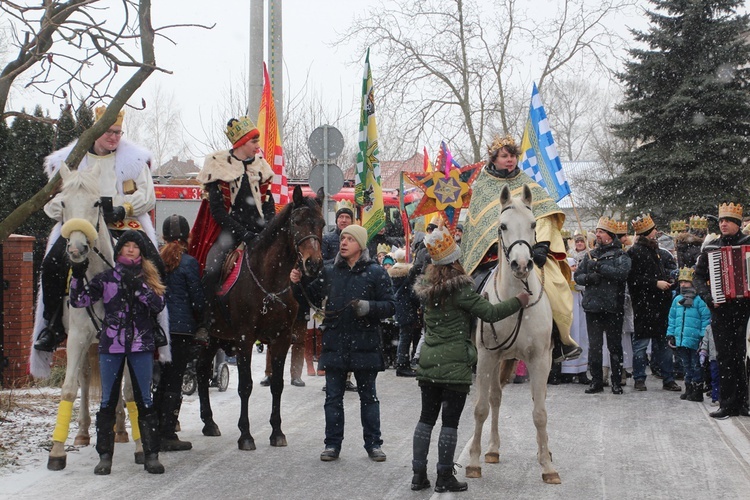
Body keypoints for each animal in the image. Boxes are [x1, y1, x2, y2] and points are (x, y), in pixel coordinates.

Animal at [40, 162, 142, 470]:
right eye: (63, 202)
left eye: (98, 203)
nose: (76, 249)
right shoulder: (77, 338)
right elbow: (69, 388)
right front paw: (57, 452)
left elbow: (129, 389)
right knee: (86, 377)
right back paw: (84, 432)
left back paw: (120, 430)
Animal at [200, 185, 326, 450]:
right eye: (297, 222)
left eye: (321, 223)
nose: (313, 264)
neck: (269, 281)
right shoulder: (245, 339)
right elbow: (245, 386)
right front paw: (246, 435)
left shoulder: (282, 338)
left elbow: (277, 385)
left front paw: (277, 432)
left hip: (215, 337)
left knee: (202, 370)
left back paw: (209, 423)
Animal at [468, 184, 560, 484]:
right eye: (503, 225)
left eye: (533, 224)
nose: (521, 264)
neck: (516, 300)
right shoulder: (486, 357)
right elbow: (481, 408)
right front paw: (473, 461)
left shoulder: (539, 359)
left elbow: (540, 412)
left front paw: (547, 466)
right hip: (498, 359)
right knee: (495, 399)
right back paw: (492, 449)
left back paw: (545, 451)